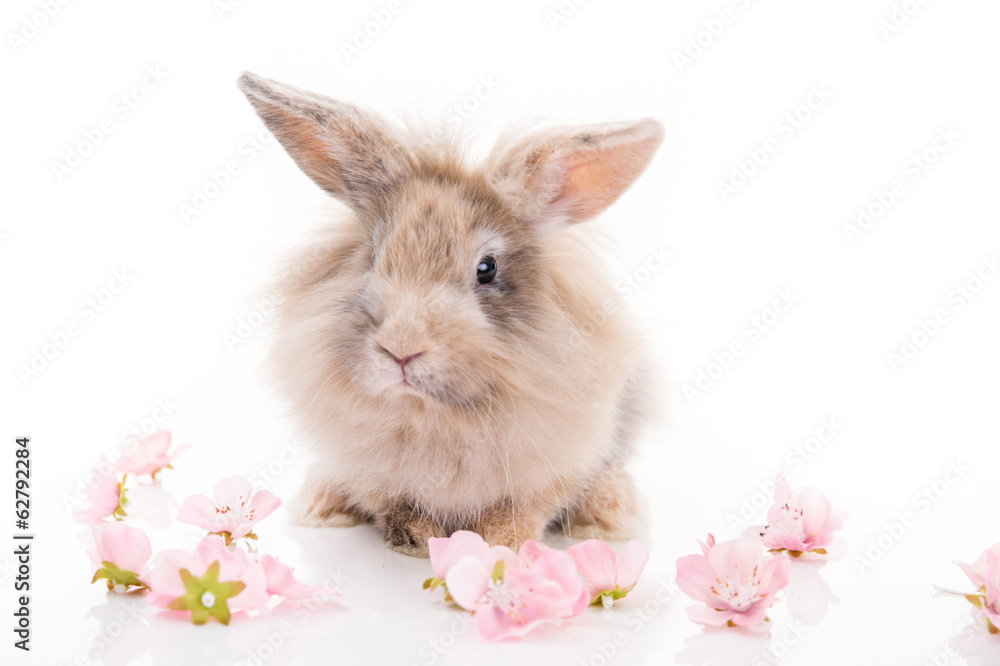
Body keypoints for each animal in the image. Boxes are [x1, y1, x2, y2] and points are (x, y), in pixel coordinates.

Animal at [237, 71, 664, 557]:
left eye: (487, 269)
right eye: (373, 255)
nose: (401, 350)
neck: (430, 415)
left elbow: (520, 510)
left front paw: (502, 543)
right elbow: (396, 503)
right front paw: (416, 536)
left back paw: (608, 514)